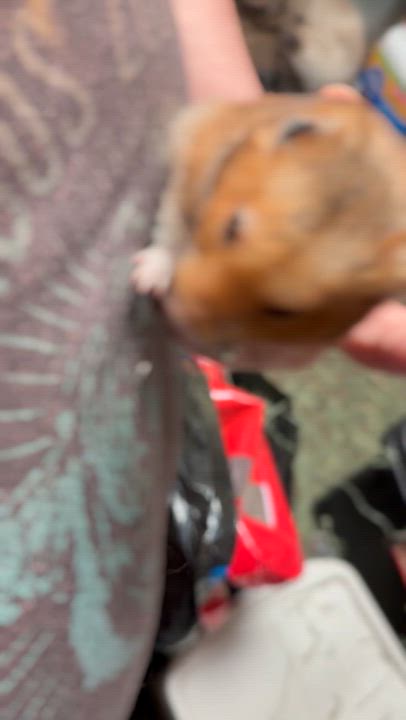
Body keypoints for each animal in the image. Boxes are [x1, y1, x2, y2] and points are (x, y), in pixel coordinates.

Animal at [132, 93, 406, 364]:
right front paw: (145, 281)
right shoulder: (190, 164)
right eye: (230, 228)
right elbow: (171, 228)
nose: (177, 314)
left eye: (281, 312)